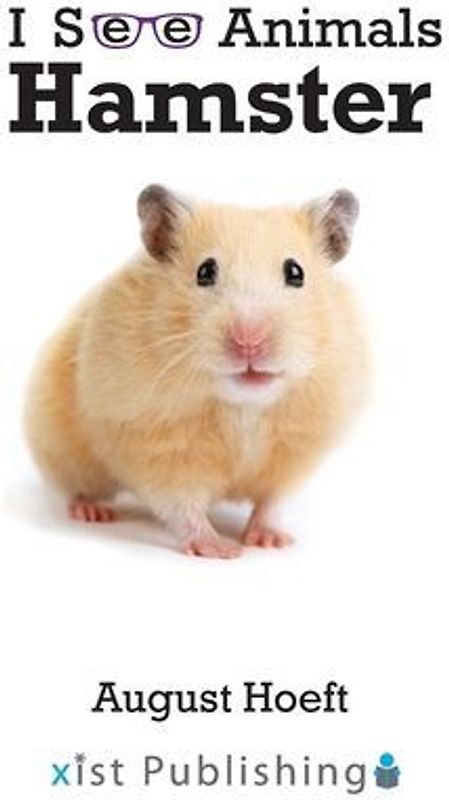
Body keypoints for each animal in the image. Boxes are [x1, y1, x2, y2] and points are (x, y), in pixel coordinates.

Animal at [24, 184, 367, 558]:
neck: (243, 406)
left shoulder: (295, 454)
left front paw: (270, 541)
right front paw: (223, 550)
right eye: (205, 271)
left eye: (296, 273)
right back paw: (91, 512)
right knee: (76, 488)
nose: (249, 341)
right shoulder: (155, 449)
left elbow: (272, 502)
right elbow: (182, 506)